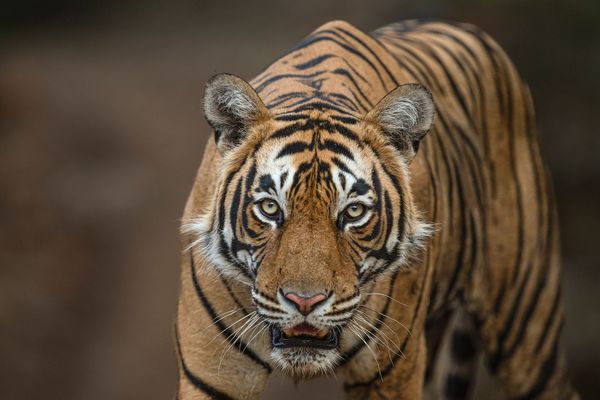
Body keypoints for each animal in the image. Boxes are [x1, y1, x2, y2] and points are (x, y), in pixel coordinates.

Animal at [176, 19, 580, 400]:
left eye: (353, 213)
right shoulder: (213, 373)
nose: (305, 302)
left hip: (526, 329)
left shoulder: (390, 373)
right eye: (270, 208)